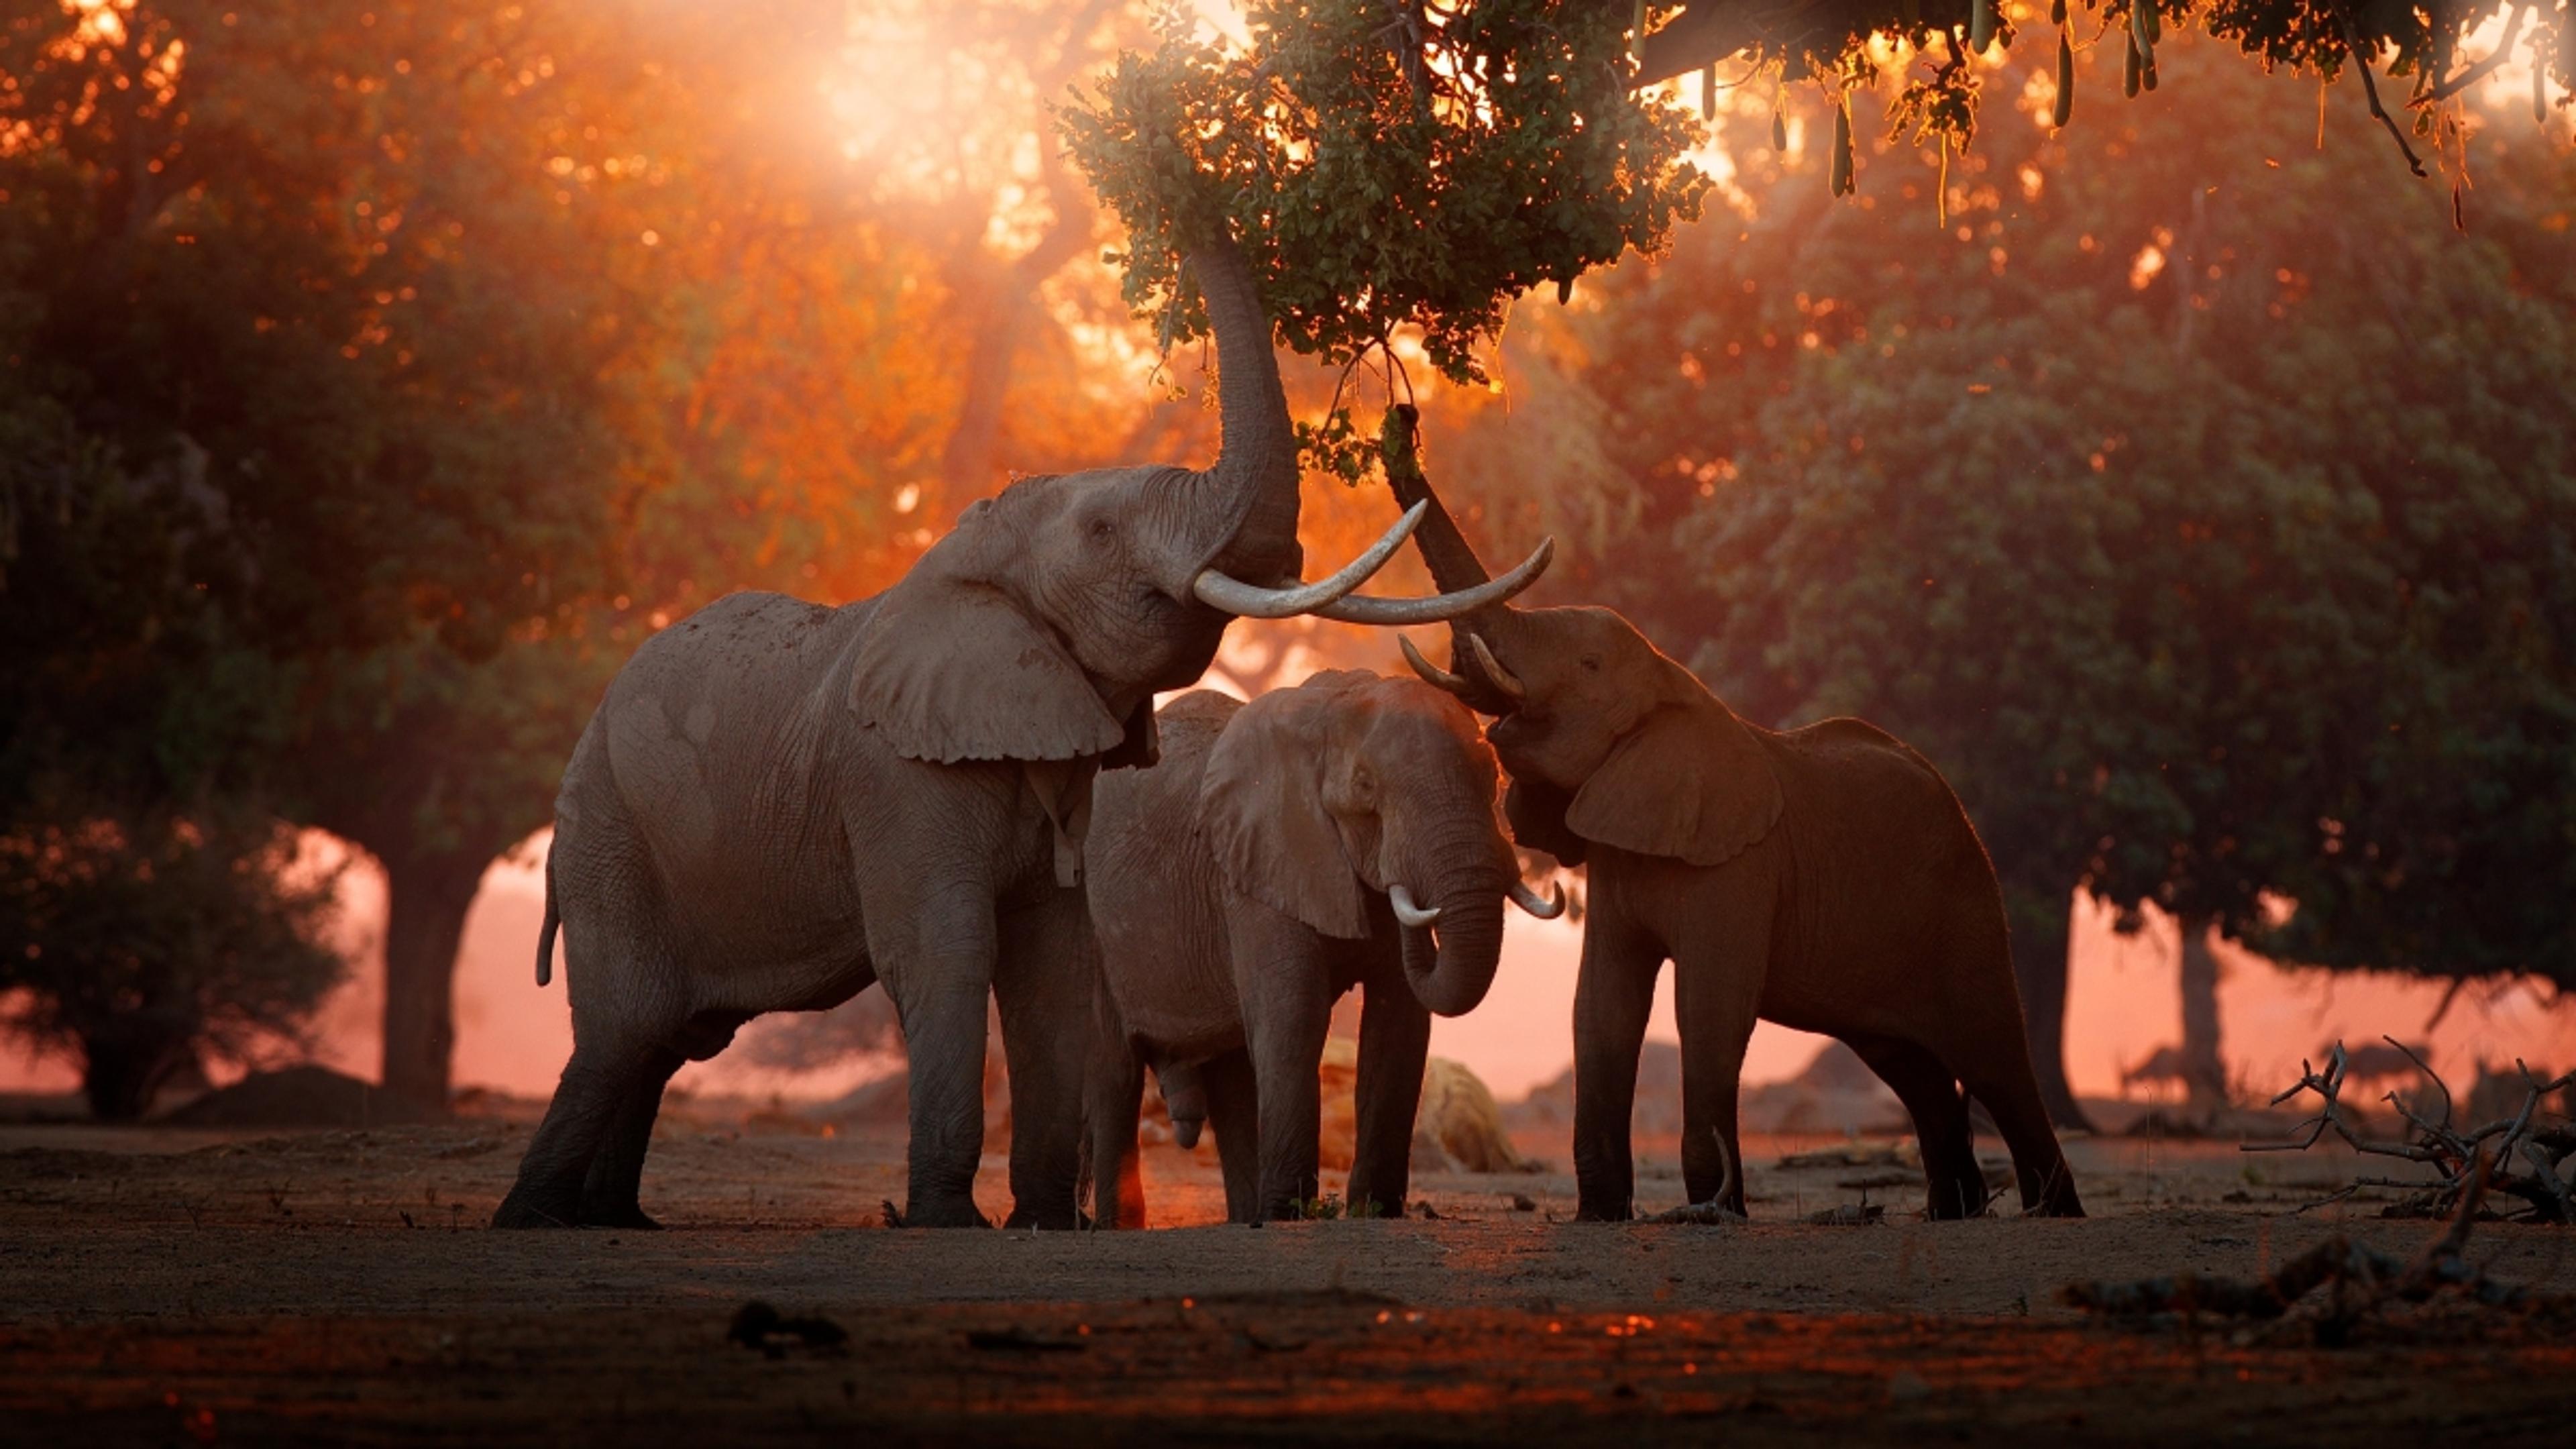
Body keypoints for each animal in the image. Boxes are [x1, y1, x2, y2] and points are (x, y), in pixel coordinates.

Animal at [1081, 672, 1564, 1225]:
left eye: (1493, 775)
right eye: (1365, 788)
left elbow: (1397, 1023)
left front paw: (1375, 1213)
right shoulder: (1258, 868)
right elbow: (1296, 1016)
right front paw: (1290, 1214)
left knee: (1231, 1075)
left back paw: (1248, 1217)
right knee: (1116, 1074)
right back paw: (1131, 1225)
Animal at [1385, 474, 2084, 1224]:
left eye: (1589, 664)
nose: (1407, 442)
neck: (1673, 684)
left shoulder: (1739, 868)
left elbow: (1709, 1005)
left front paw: (1715, 1213)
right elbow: (1601, 1002)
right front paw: (1602, 1216)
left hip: (1967, 903)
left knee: (1995, 1060)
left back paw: (2054, 1213)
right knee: (1910, 1066)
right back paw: (1956, 1212)